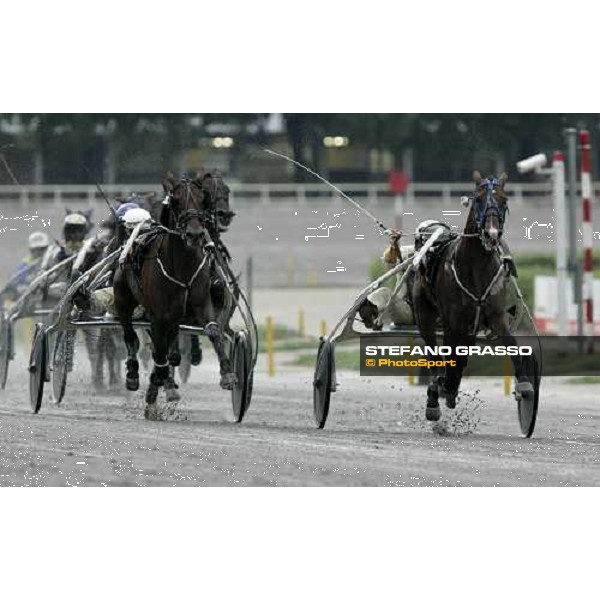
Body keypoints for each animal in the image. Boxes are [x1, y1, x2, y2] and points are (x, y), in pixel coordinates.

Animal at [112, 173, 237, 418]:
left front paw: (228, 374)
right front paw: (154, 393)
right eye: (177, 200)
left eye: (202, 199)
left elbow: (213, 331)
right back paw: (134, 375)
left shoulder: (202, 303)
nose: (195, 233)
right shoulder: (158, 316)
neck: (182, 266)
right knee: (131, 336)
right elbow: (158, 354)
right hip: (123, 298)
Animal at [410, 169, 532, 422]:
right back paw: (435, 396)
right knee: (434, 356)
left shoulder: (495, 316)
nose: (492, 233)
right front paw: (444, 388)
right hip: (425, 313)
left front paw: (525, 385)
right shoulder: (452, 321)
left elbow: (512, 345)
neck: (475, 267)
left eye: (504, 200)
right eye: (478, 200)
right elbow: (447, 357)